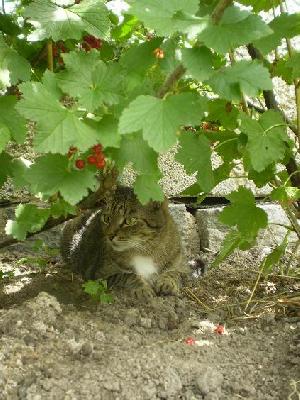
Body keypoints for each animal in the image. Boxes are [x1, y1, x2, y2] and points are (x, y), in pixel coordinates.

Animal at [60, 188, 189, 300]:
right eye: (107, 218)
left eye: (130, 221)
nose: (110, 235)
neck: (145, 250)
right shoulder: (99, 274)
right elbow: (128, 275)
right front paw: (142, 288)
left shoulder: (181, 266)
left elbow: (174, 273)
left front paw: (168, 282)